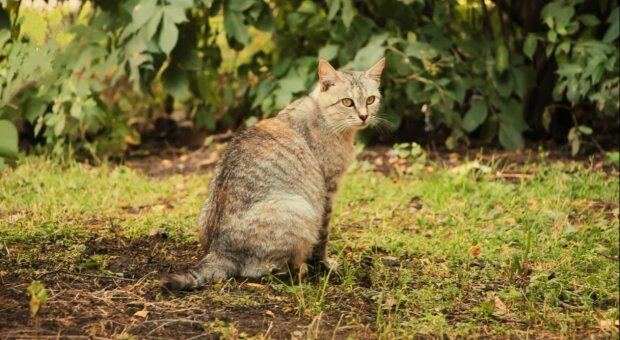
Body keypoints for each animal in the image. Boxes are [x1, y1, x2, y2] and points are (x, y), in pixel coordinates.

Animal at [161, 56, 382, 290]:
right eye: (347, 102)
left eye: (370, 99)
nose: (364, 116)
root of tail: (219, 252)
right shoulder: (327, 191)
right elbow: (323, 237)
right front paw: (323, 264)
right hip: (299, 209)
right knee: (262, 270)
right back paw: (298, 269)